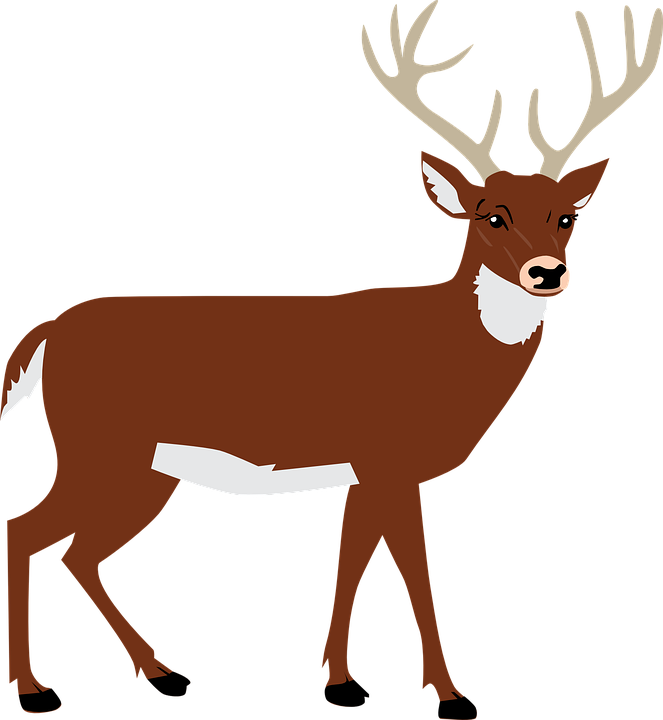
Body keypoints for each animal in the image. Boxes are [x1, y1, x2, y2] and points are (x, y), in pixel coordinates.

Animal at [3, 0, 661, 716]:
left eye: (567, 217)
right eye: (491, 215)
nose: (548, 272)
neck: (445, 353)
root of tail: (47, 335)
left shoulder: (363, 472)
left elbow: (350, 561)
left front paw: (339, 681)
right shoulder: (389, 457)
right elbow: (414, 569)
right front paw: (447, 692)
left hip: (144, 470)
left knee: (78, 554)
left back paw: (159, 673)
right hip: (100, 448)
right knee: (25, 531)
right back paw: (35, 690)